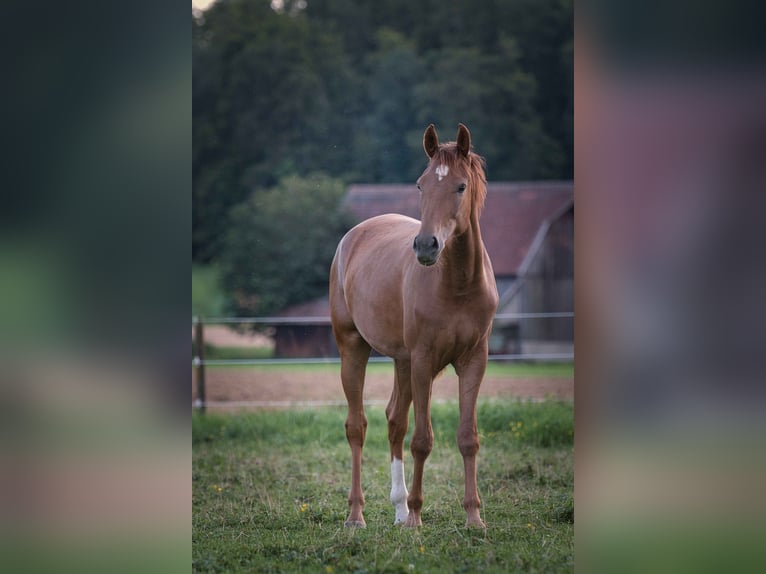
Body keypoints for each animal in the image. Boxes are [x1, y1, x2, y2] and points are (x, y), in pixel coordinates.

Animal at [328, 124, 498, 528]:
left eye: (461, 186)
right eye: (421, 184)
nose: (425, 246)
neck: (458, 284)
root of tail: (351, 237)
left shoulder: (474, 361)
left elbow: (467, 437)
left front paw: (473, 518)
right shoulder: (424, 360)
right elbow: (422, 439)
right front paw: (418, 517)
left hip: (402, 362)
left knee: (394, 421)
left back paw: (399, 508)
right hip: (353, 348)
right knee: (357, 427)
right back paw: (357, 514)